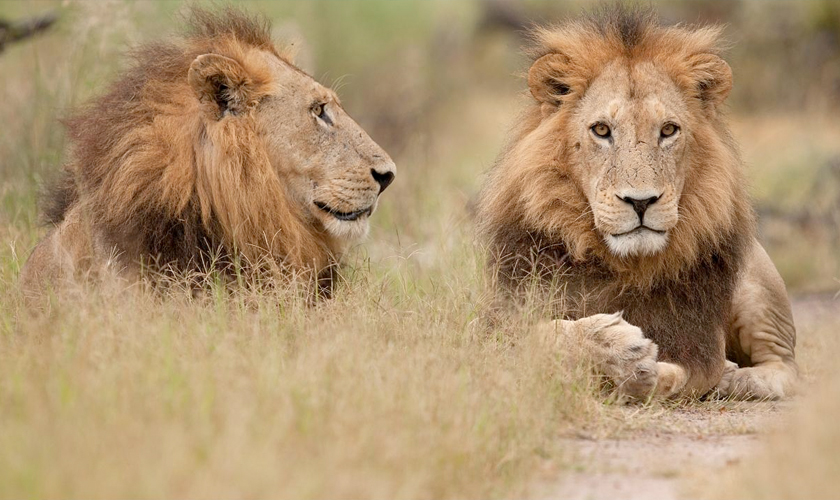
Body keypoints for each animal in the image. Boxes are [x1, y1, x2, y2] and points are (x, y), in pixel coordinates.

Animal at [476, 7, 796, 400]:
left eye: (669, 130)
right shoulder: (494, 318)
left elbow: (683, 373)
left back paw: (739, 379)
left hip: (758, 287)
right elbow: (538, 334)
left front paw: (639, 370)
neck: (622, 265)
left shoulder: (699, 343)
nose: (641, 202)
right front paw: (613, 346)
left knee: (787, 366)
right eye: (601, 130)